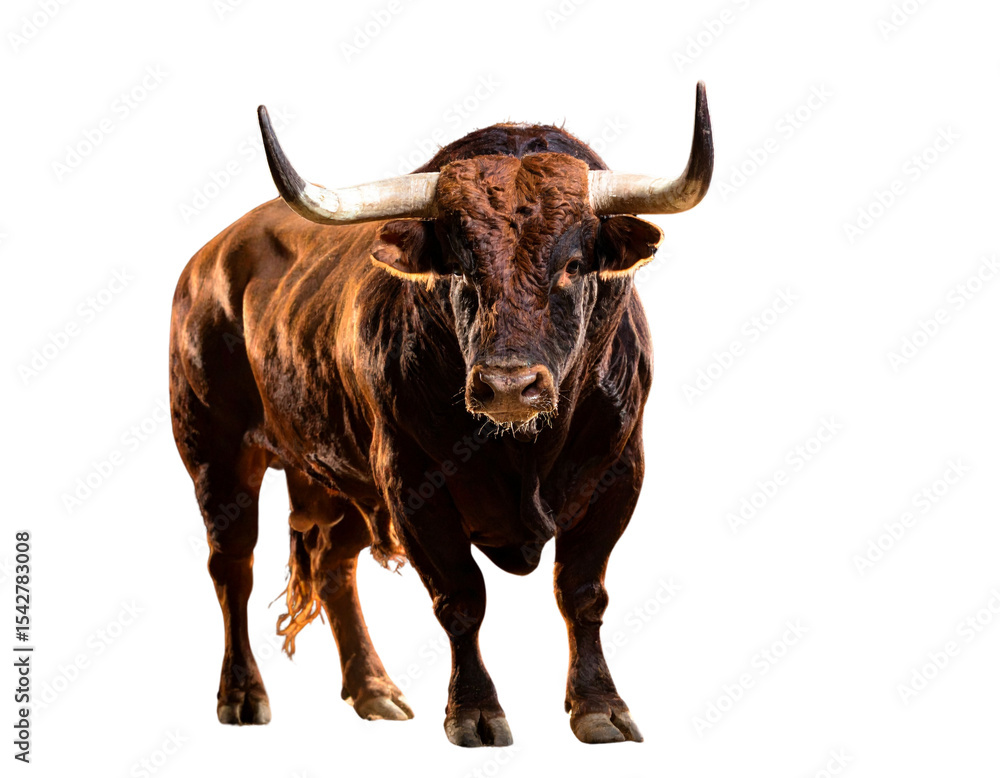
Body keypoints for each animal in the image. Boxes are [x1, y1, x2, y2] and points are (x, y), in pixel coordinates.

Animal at [169, 82, 713, 746]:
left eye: (574, 264)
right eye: (459, 265)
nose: (509, 385)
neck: (524, 452)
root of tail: (211, 258)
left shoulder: (619, 472)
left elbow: (582, 591)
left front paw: (599, 706)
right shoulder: (413, 484)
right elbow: (460, 598)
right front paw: (475, 711)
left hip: (345, 478)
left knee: (333, 566)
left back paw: (373, 690)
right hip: (216, 455)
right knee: (233, 569)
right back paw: (243, 694)